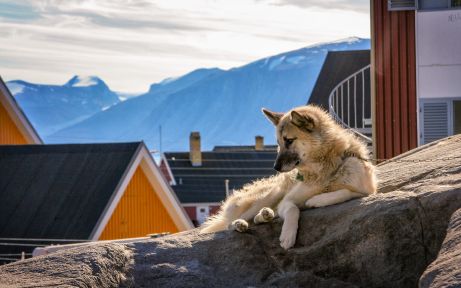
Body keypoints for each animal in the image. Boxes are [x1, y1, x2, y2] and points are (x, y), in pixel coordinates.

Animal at [199, 104, 376, 249]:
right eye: (278, 143)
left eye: (289, 140)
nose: (275, 167)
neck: (323, 169)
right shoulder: (287, 201)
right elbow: (292, 209)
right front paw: (288, 236)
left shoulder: (368, 190)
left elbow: (347, 192)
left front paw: (316, 200)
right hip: (270, 195)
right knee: (231, 224)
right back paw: (241, 223)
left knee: (257, 218)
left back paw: (266, 215)